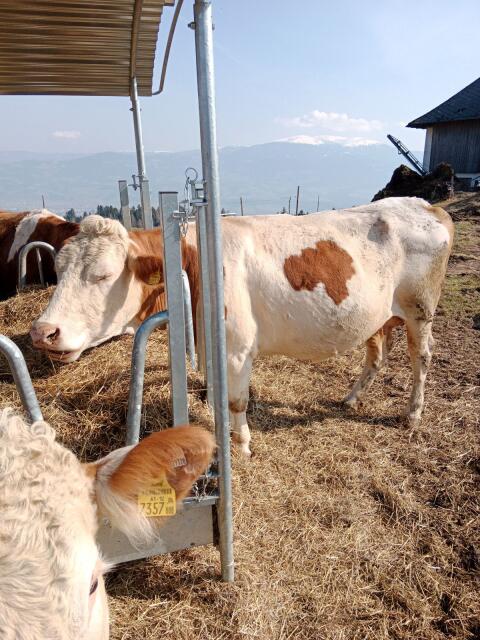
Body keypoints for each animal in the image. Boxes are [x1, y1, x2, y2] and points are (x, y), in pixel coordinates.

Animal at [30, 197, 454, 456]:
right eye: (58, 269)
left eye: (103, 275)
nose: (43, 331)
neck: (196, 261)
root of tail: (428, 206)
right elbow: (218, 395)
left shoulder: (236, 348)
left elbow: (236, 400)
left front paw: (243, 443)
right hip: (379, 316)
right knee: (377, 354)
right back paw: (350, 398)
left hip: (420, 310)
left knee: (421, 359)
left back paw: (412, 415)